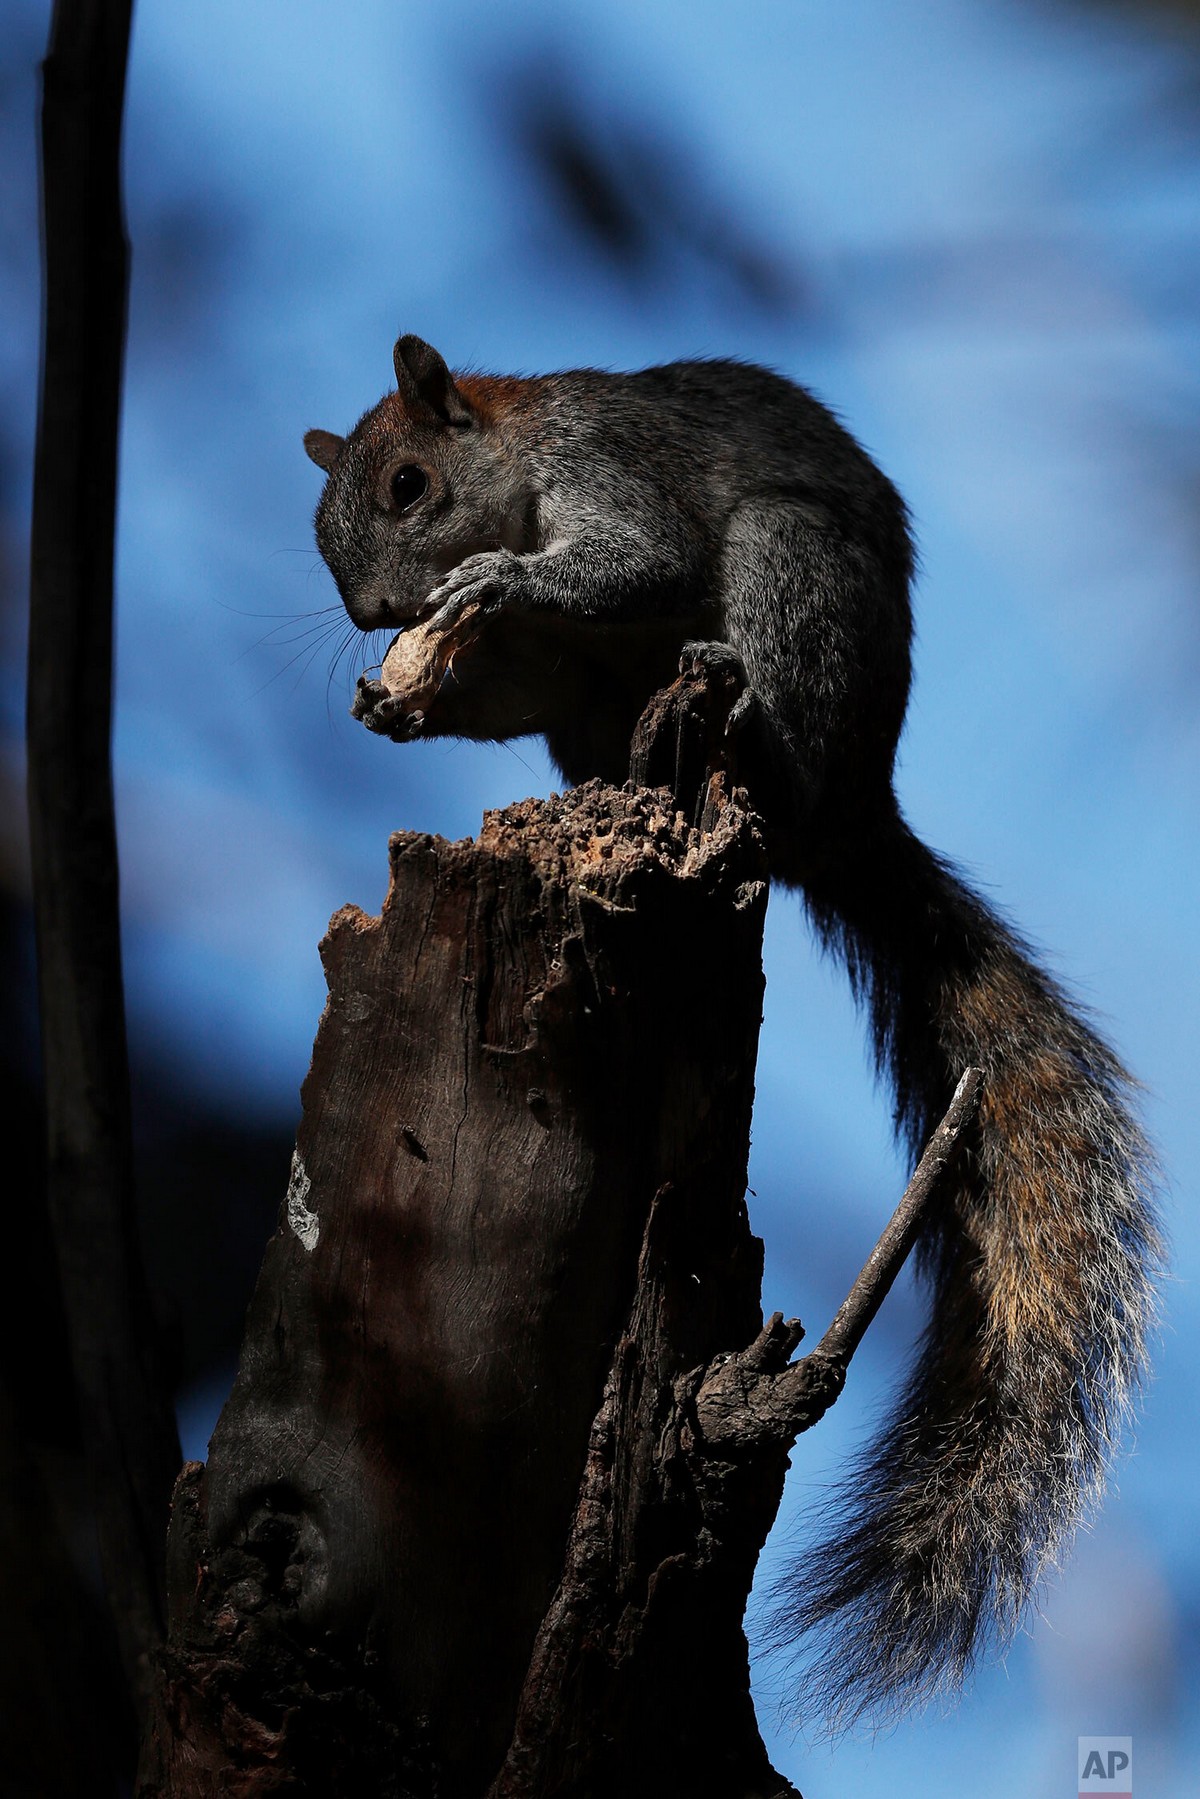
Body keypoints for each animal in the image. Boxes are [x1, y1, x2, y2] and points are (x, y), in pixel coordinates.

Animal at [302, 338, 1165, 1727]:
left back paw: (747, 712)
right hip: (603, 708)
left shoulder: (611, 472)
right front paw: (403, 705)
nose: (380, 616)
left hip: (787, 574)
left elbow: (637, 559)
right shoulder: (545, 667)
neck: (518, 460)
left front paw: (500, 578)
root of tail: (849, 817)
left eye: (409, 485)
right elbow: (513, 679)